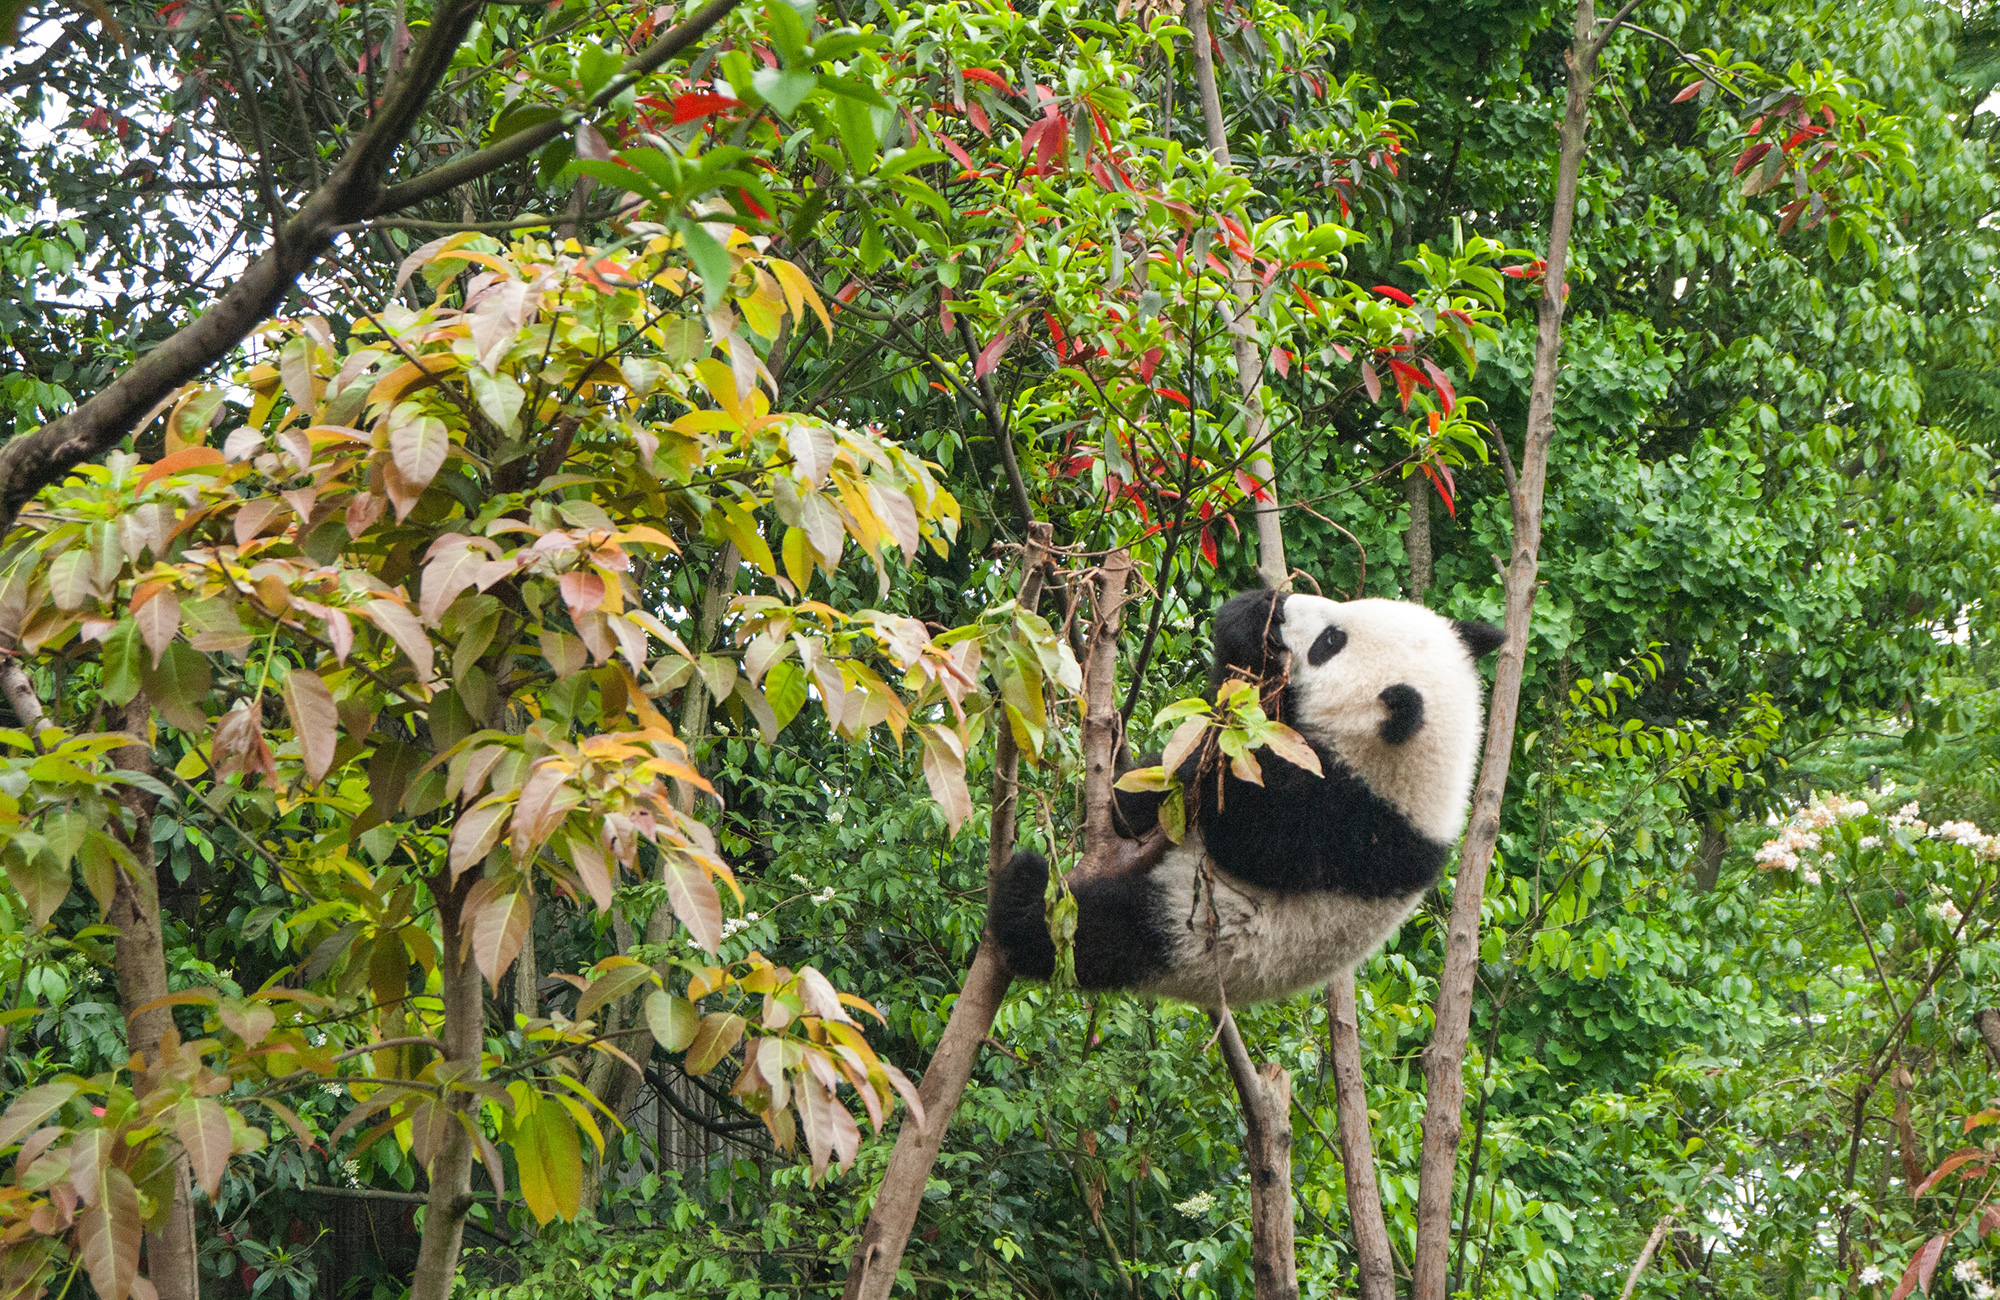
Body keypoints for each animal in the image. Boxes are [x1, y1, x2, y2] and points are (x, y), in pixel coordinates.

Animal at [990, 588, 1503, 1008]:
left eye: (1330, 642)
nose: (1287, 605)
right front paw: (1250, 618)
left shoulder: (1353, 826)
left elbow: (1246, 831)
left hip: (1193, 935)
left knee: (1098, 934)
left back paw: (1023, 895)